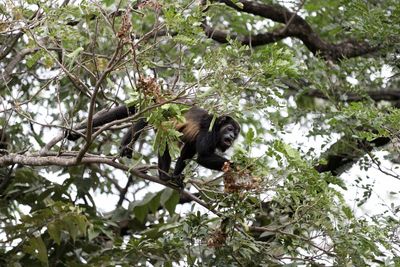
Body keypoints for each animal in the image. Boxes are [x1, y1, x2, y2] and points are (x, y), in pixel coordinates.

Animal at [66, 105, 241, 183]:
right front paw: (238, 166)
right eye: (230, 129)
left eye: (236, 133)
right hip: (155, 112)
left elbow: (187, 153)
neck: (218, 128)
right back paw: (125, 147)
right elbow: (203, 157)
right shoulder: (208, 130)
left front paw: (177, 177)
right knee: (143, 121)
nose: (232, 136)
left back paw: (165, 176)